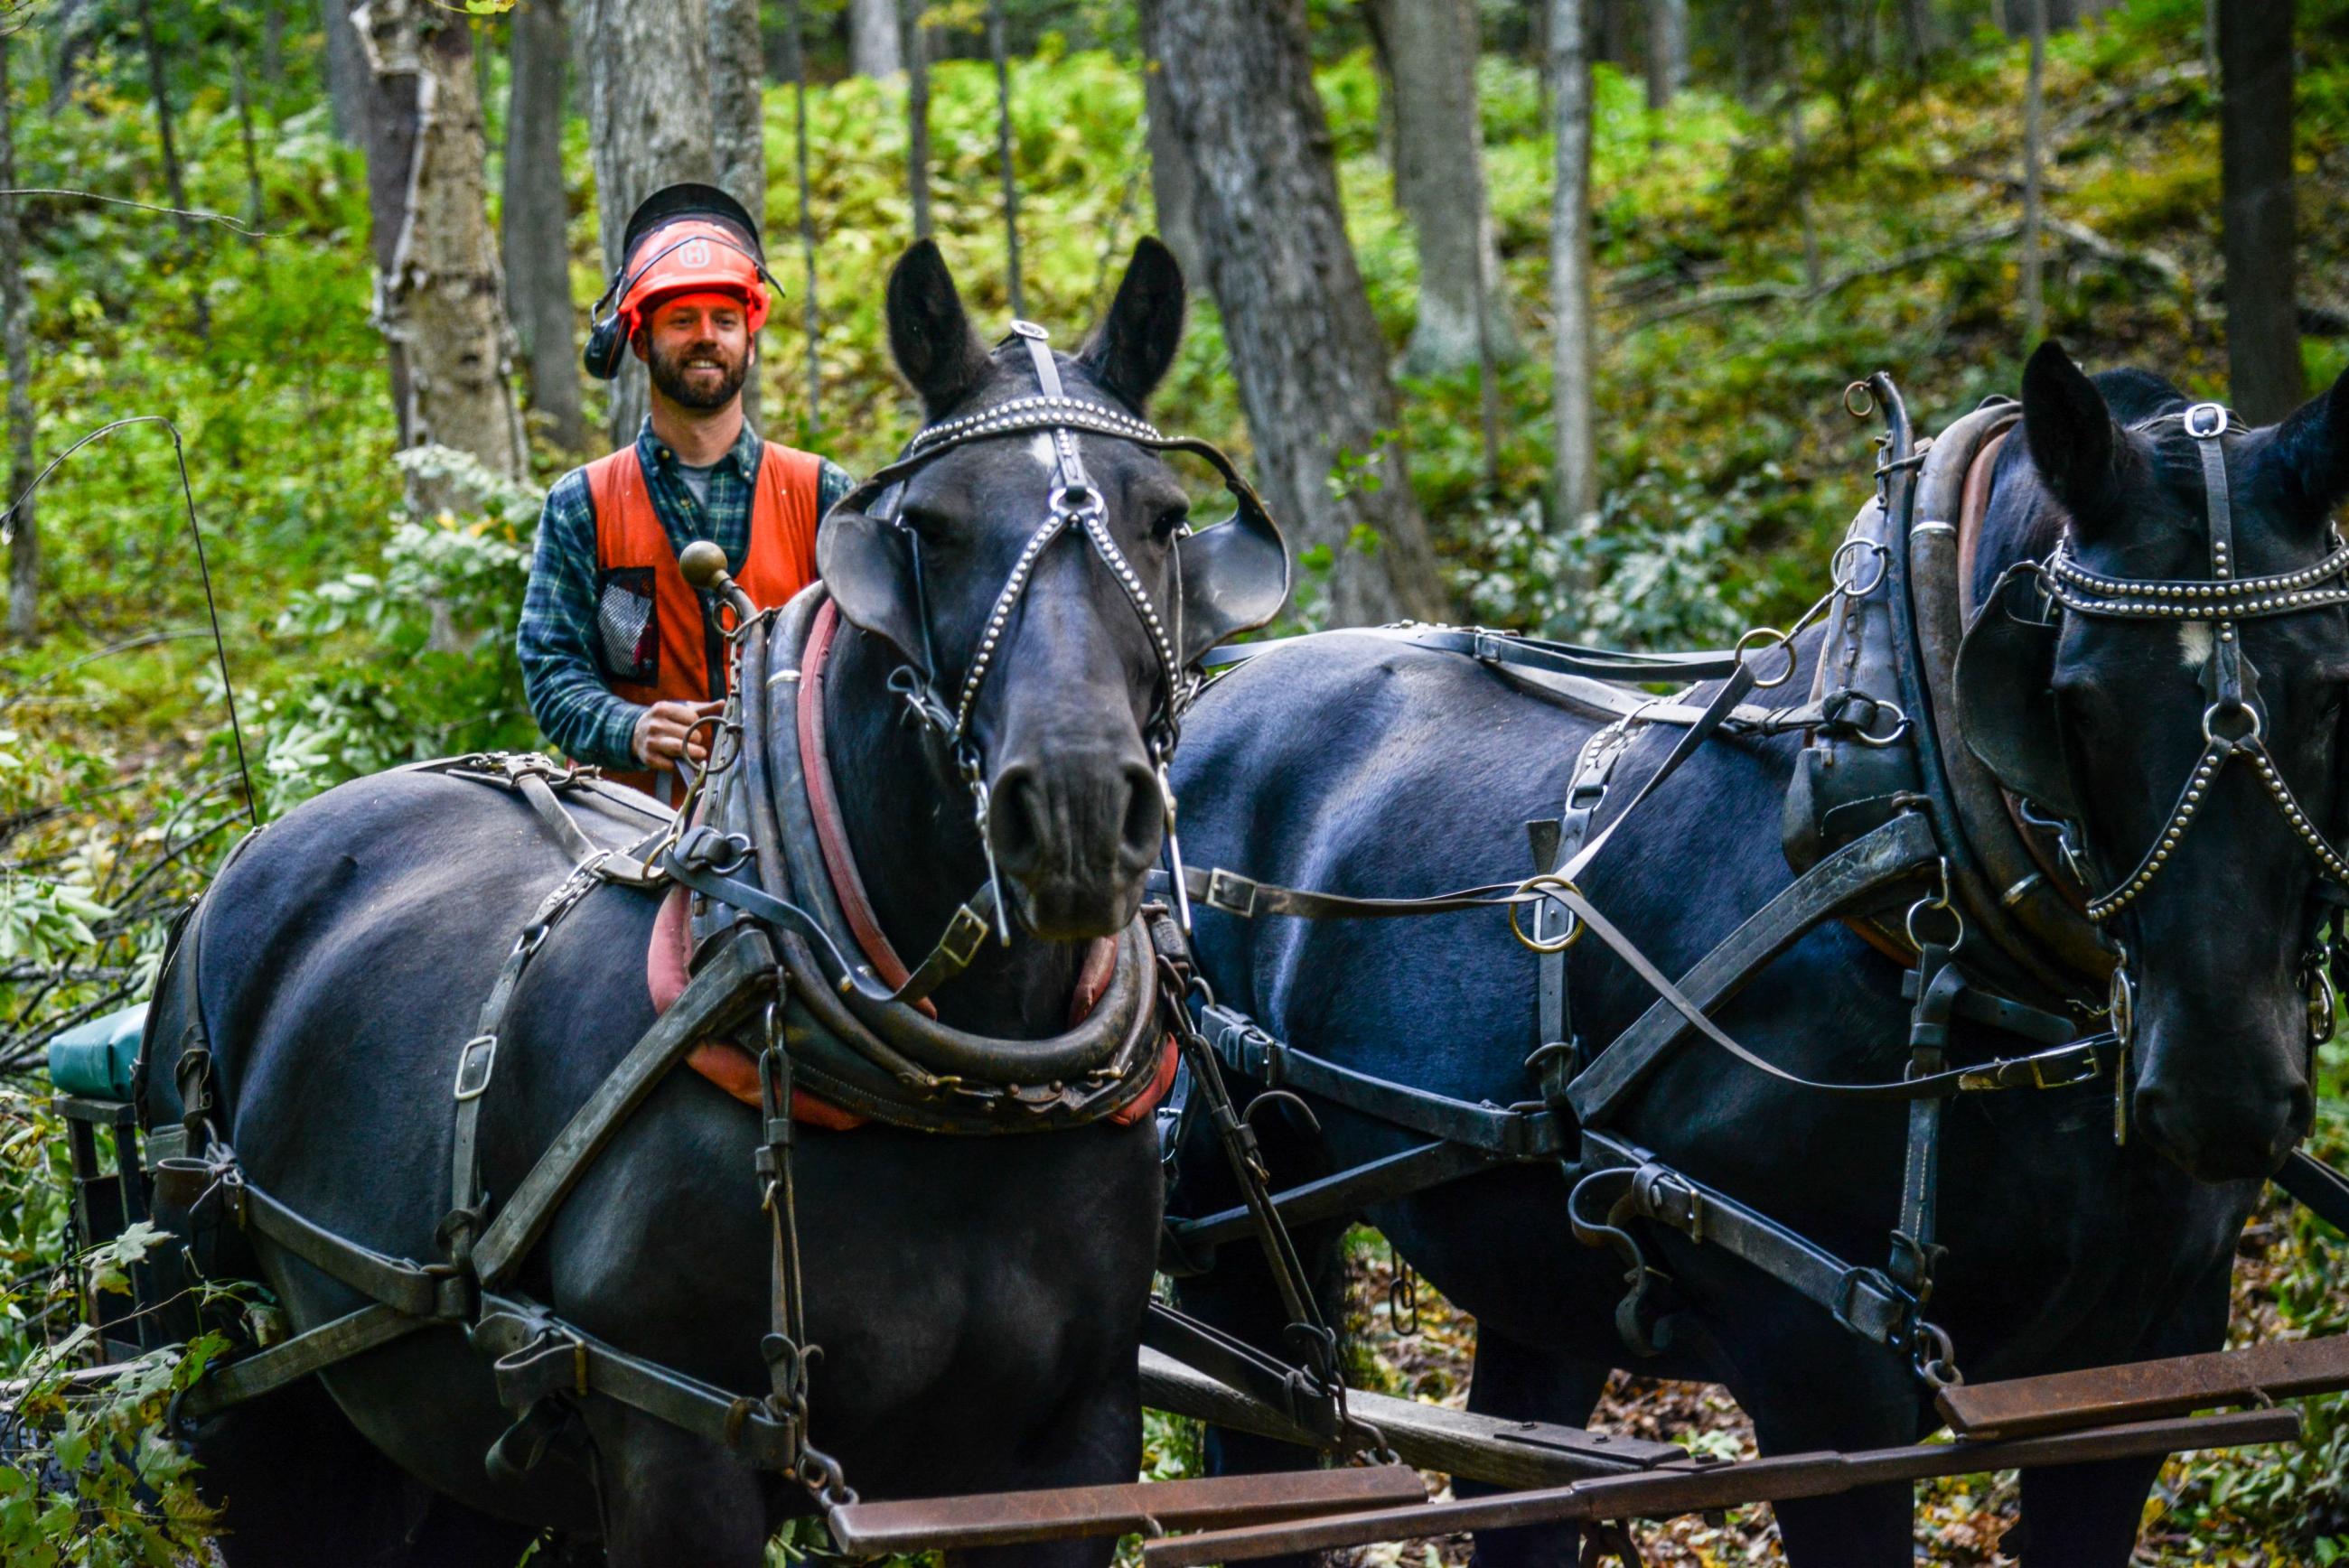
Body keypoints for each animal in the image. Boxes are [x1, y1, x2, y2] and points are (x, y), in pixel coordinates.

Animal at [139, 237, 1235, 1568]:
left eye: (1166, 518)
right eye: (929, 529)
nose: (1073, 808)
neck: (958, 1103)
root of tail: (244, 861)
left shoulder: (1075, 1450)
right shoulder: (674, 1447)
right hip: (230, 1378)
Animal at [1165, 342, 2349, 1566]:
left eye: (2330, 687)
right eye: (2070, 698)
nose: (2219, 1091)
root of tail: (1211, 689)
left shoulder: (2137, 1370)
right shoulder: (1823, 1386)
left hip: (1525, 1263)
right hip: (1229, 1230)